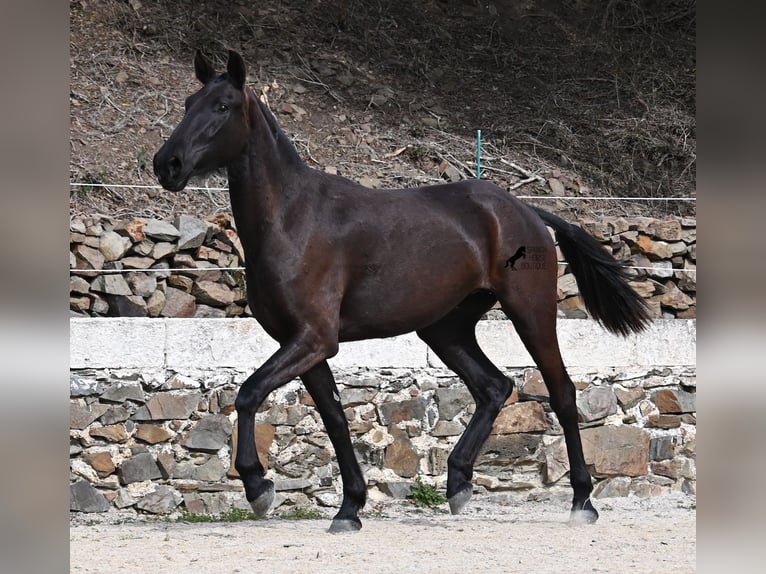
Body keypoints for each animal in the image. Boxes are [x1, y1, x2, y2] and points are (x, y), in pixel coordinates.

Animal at [156, 50, 656, 536]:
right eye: (188, 103)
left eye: (222, 106)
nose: (167, 164)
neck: (293, 219)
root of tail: (526, 210)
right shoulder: (302, 344)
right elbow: (334, 417)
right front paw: (349, 508)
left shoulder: (314, 339)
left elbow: (248, 393)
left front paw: (259, 486)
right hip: (446, 329)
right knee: (493, 386)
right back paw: (458, 484)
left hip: (530, 311)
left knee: (561, 392)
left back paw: (582, 501)